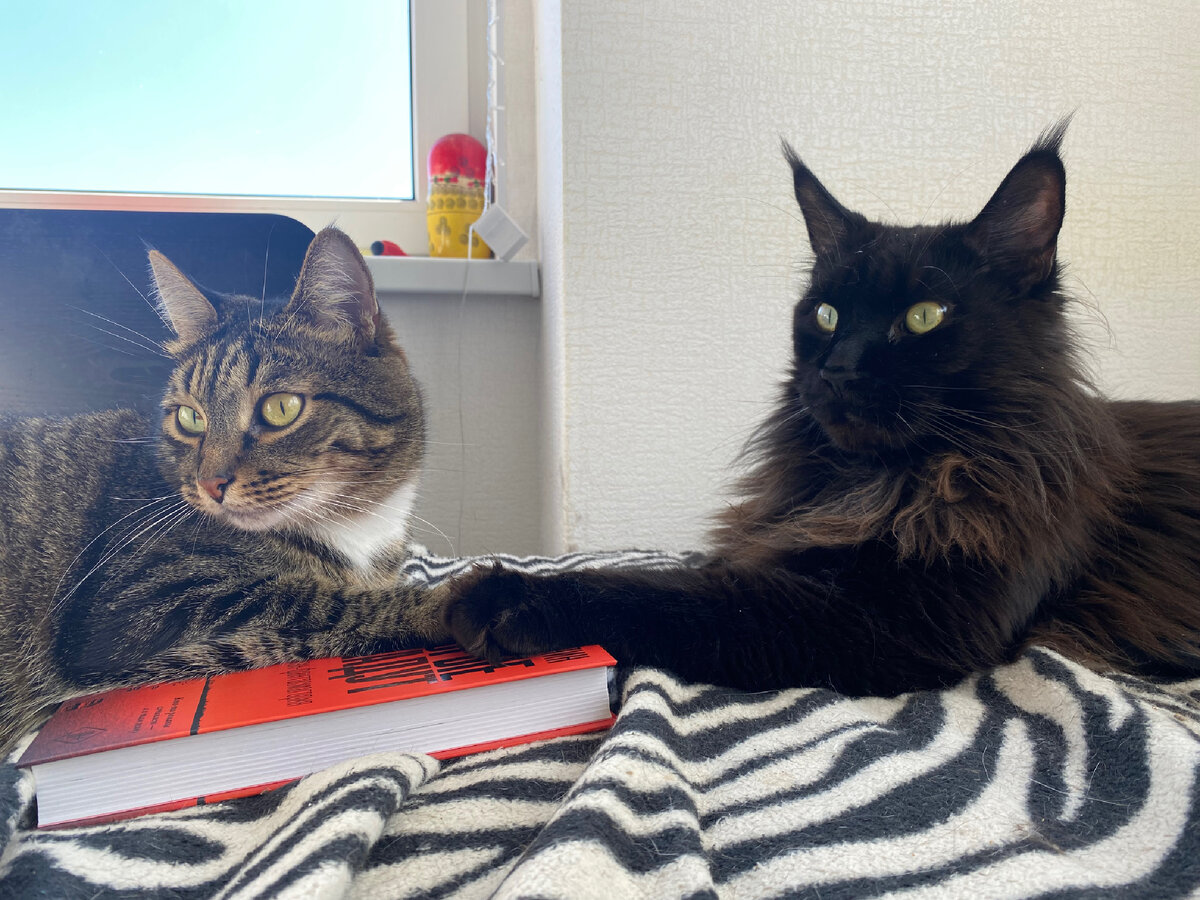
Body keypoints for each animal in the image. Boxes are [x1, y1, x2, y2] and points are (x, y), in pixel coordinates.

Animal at [0, 227, 446, 756]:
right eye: (190, 417)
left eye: (281, 408)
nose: (209, 483)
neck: (354, 529)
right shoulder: (132, 606)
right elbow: (311, 601)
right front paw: (470, 600)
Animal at [442, 123, 1200, 694]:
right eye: (826, 314)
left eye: (924, 316)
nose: (836, 369)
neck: (868, 484)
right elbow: (686, 571)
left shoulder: (887, 622)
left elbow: (664, 592)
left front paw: (502, 596)